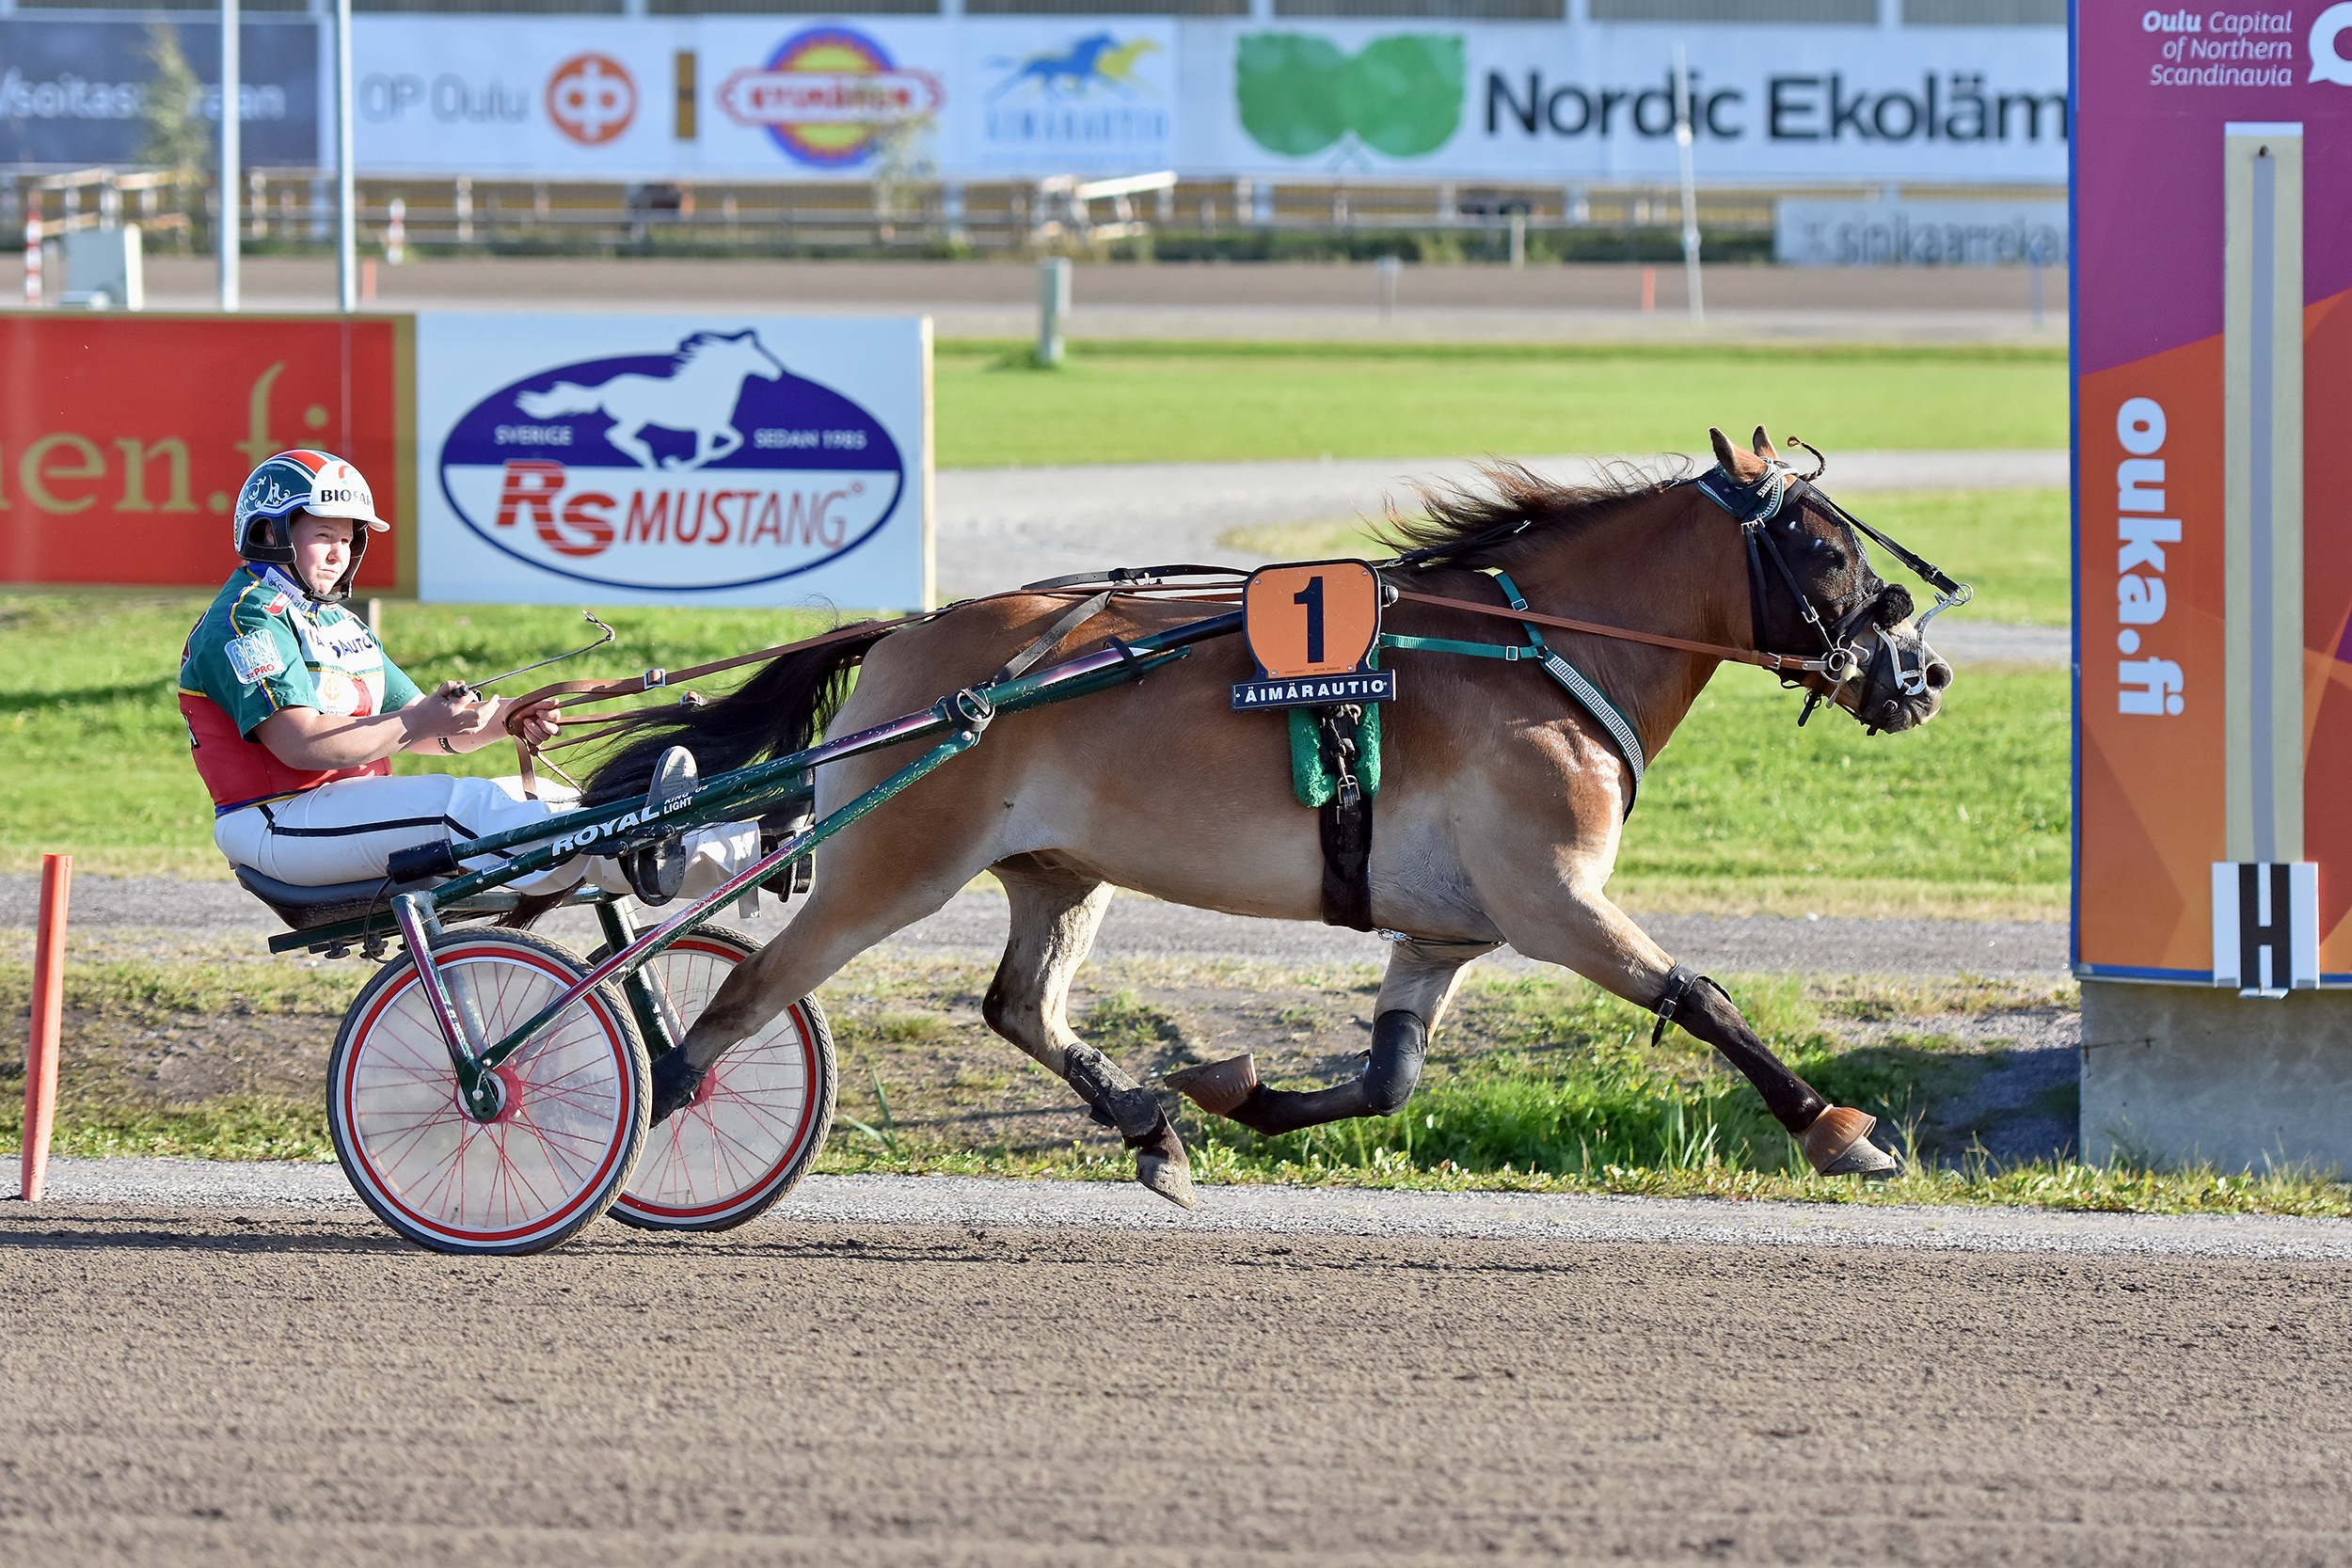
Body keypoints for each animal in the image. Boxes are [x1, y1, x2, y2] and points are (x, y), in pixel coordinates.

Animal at [583, 422, 1947, 1212]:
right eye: (1828, 550)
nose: (1922, 671)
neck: (1537, 653)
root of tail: (913, 636)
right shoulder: (1552, 896)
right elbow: (1703, 999)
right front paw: (1837, 1129)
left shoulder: (1444, 925)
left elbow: (1389, 1077)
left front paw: (1228, 1090)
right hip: (892, 860)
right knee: (747, 990)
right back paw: (646, 1123)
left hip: (1056, 868)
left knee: (1020, 1004)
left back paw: (1147, 1121)